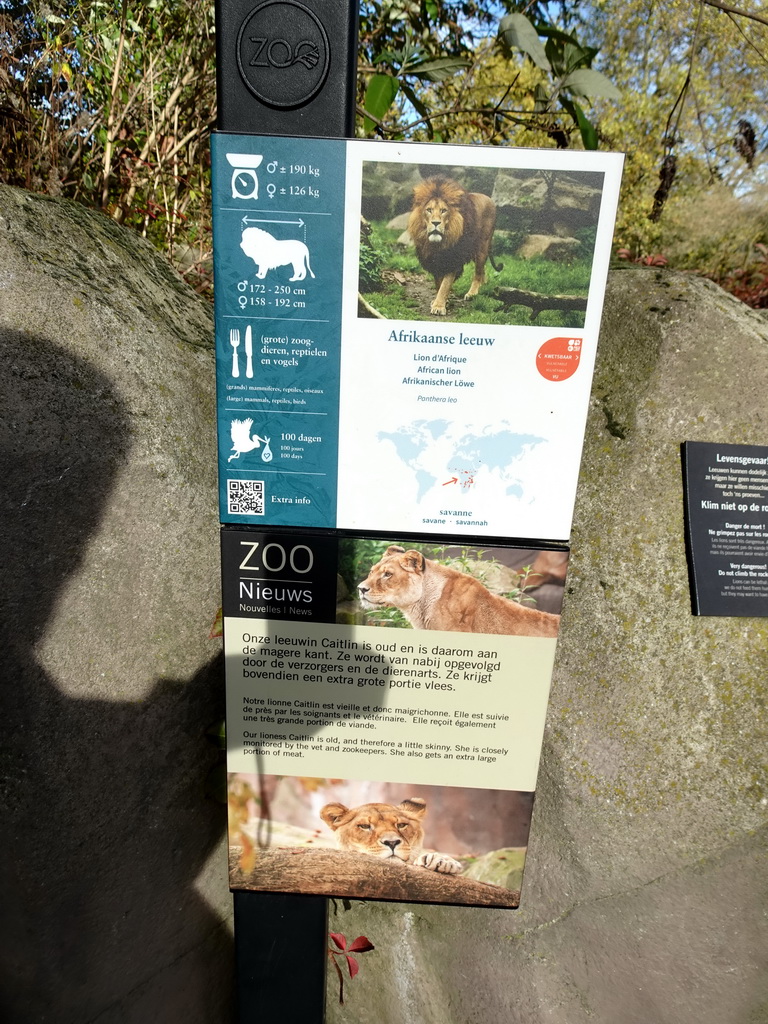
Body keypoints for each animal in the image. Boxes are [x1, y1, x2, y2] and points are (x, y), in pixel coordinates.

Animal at [409, 176, 499, 313]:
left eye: (443, 210)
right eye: (429, 210)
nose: (436, 223)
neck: (438, 245)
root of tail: (490, 199)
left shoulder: (453, 259)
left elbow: (445, 284)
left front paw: (439, 306)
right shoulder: (434, 260)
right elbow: (438, 283)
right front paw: (438, 301)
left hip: (482, 247)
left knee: (478, 273)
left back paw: (472, 293)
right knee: (482, 271)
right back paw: (483, 284)